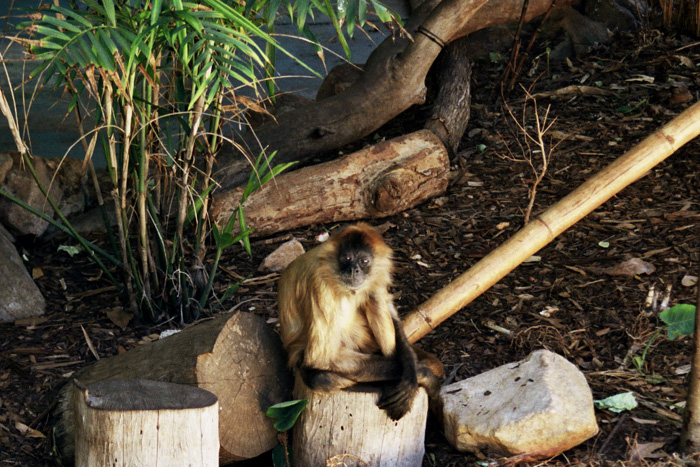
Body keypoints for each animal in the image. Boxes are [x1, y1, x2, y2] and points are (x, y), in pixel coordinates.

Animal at [277, 223, 440, 421]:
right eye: (347, 258)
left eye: (364, 261)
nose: (353, 269)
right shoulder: (319, 282)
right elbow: (321, 358)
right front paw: (421, 374)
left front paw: (410, 368)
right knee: (320, 378)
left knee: (373, 296)